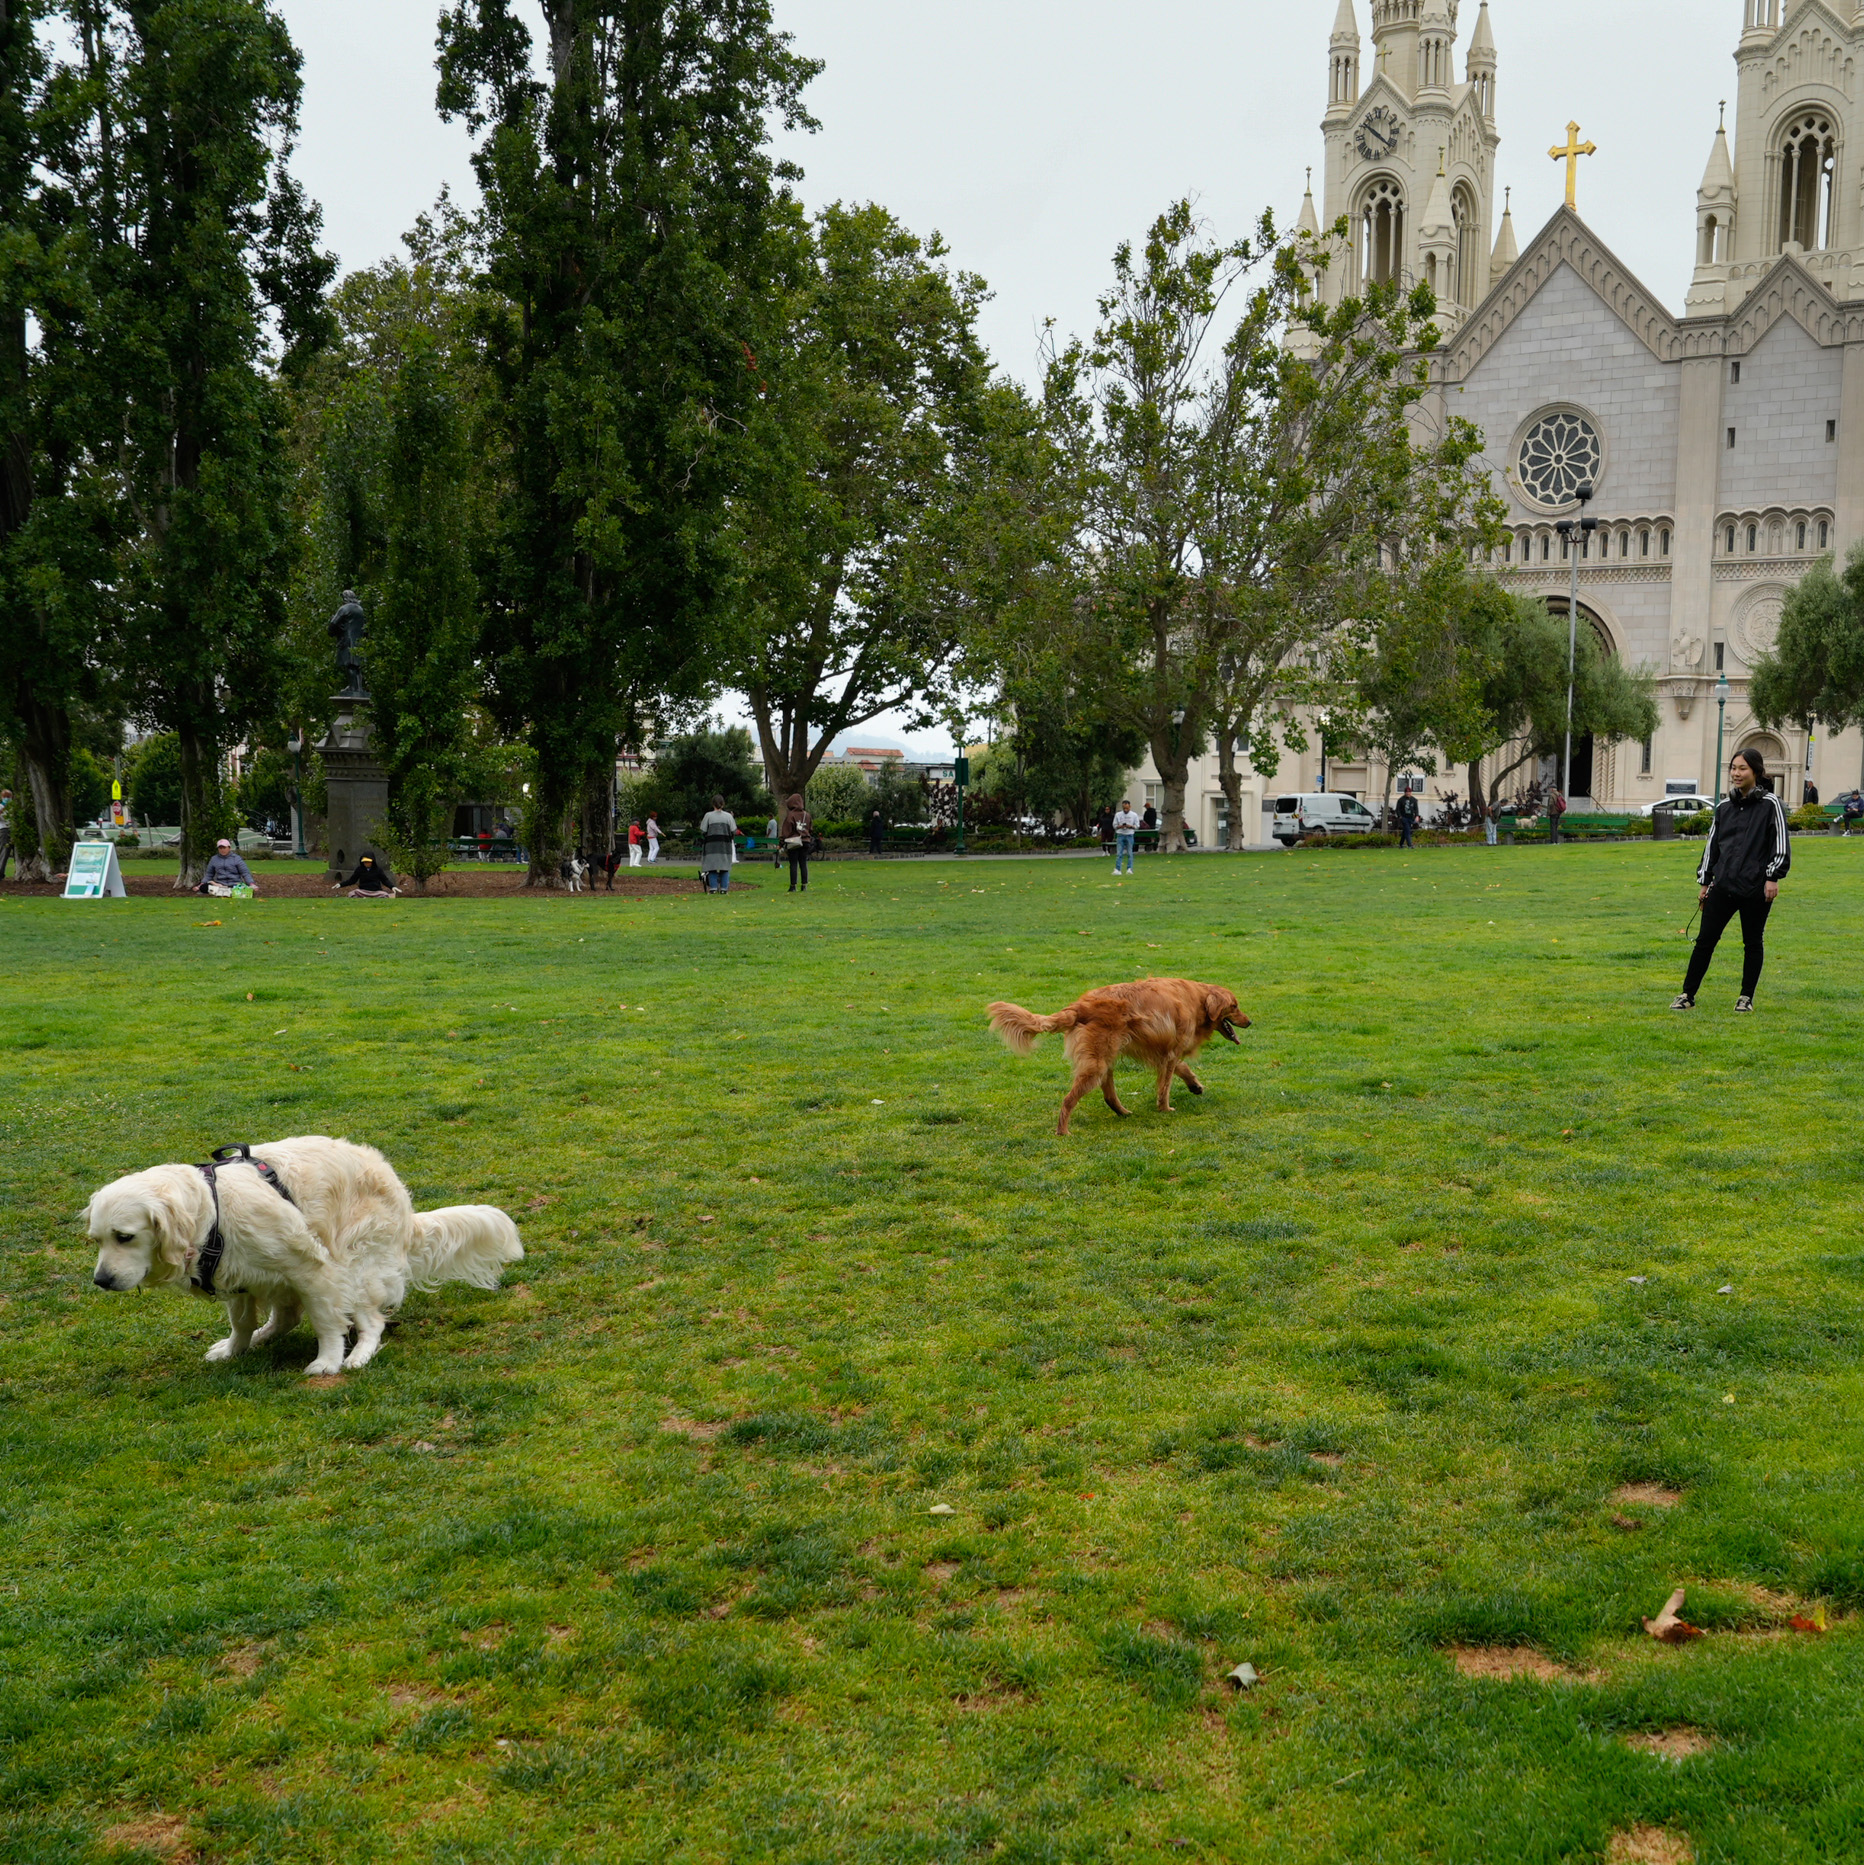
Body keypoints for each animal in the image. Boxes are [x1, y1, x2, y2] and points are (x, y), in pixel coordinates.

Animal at [88, 1126, 526, 1380]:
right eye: (97, 1240)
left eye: (124, 1237)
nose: (101, 1281)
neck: (211, 1211)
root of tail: (405, 1207)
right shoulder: (239, 1278)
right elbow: (241, 1324)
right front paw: (234, 1348)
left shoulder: (312, 1268)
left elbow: (326, 1322)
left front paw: (328, 1360)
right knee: (285, 1318)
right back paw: (264, 1336)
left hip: (356, 1264)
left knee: (372, 1323)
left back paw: (358, 1356)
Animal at [985, 977, 1246, 1133]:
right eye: (1234, 1006)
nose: (1250, 1021)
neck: (1197, 999)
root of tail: (1078, 1007)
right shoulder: (1171, 1052)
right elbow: (1165, 1085)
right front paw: (1165, 1108)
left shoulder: (1164, 1052)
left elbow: (1180, 1069)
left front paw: (1195, 1085)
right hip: (1096, 1066)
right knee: (1068, 1100)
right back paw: (1063, 1131)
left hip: (1105, 1061)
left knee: (1109, 1096)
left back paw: (1123, 1112)